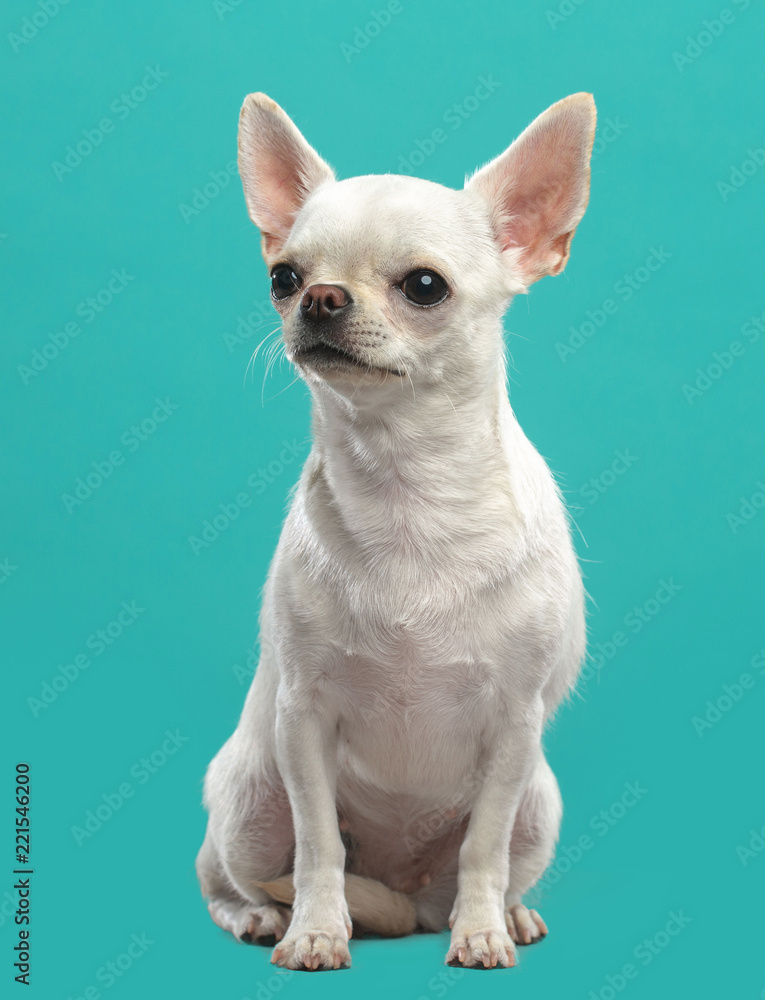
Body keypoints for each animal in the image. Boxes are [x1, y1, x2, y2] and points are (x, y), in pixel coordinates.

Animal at [195, 92, 592, 968]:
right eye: (282, 278)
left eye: (423, 287)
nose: (320, 298)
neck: (408, 489)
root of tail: (401, 899)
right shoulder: (302, 722)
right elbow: (318, 844)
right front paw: (315, 931)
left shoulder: (513, 732)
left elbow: (482, 846)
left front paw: (480, 932)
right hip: (248, 796)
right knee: (225, 873)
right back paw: (260, 915)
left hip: (540, 803)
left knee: (485, 866)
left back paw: (503, 913)